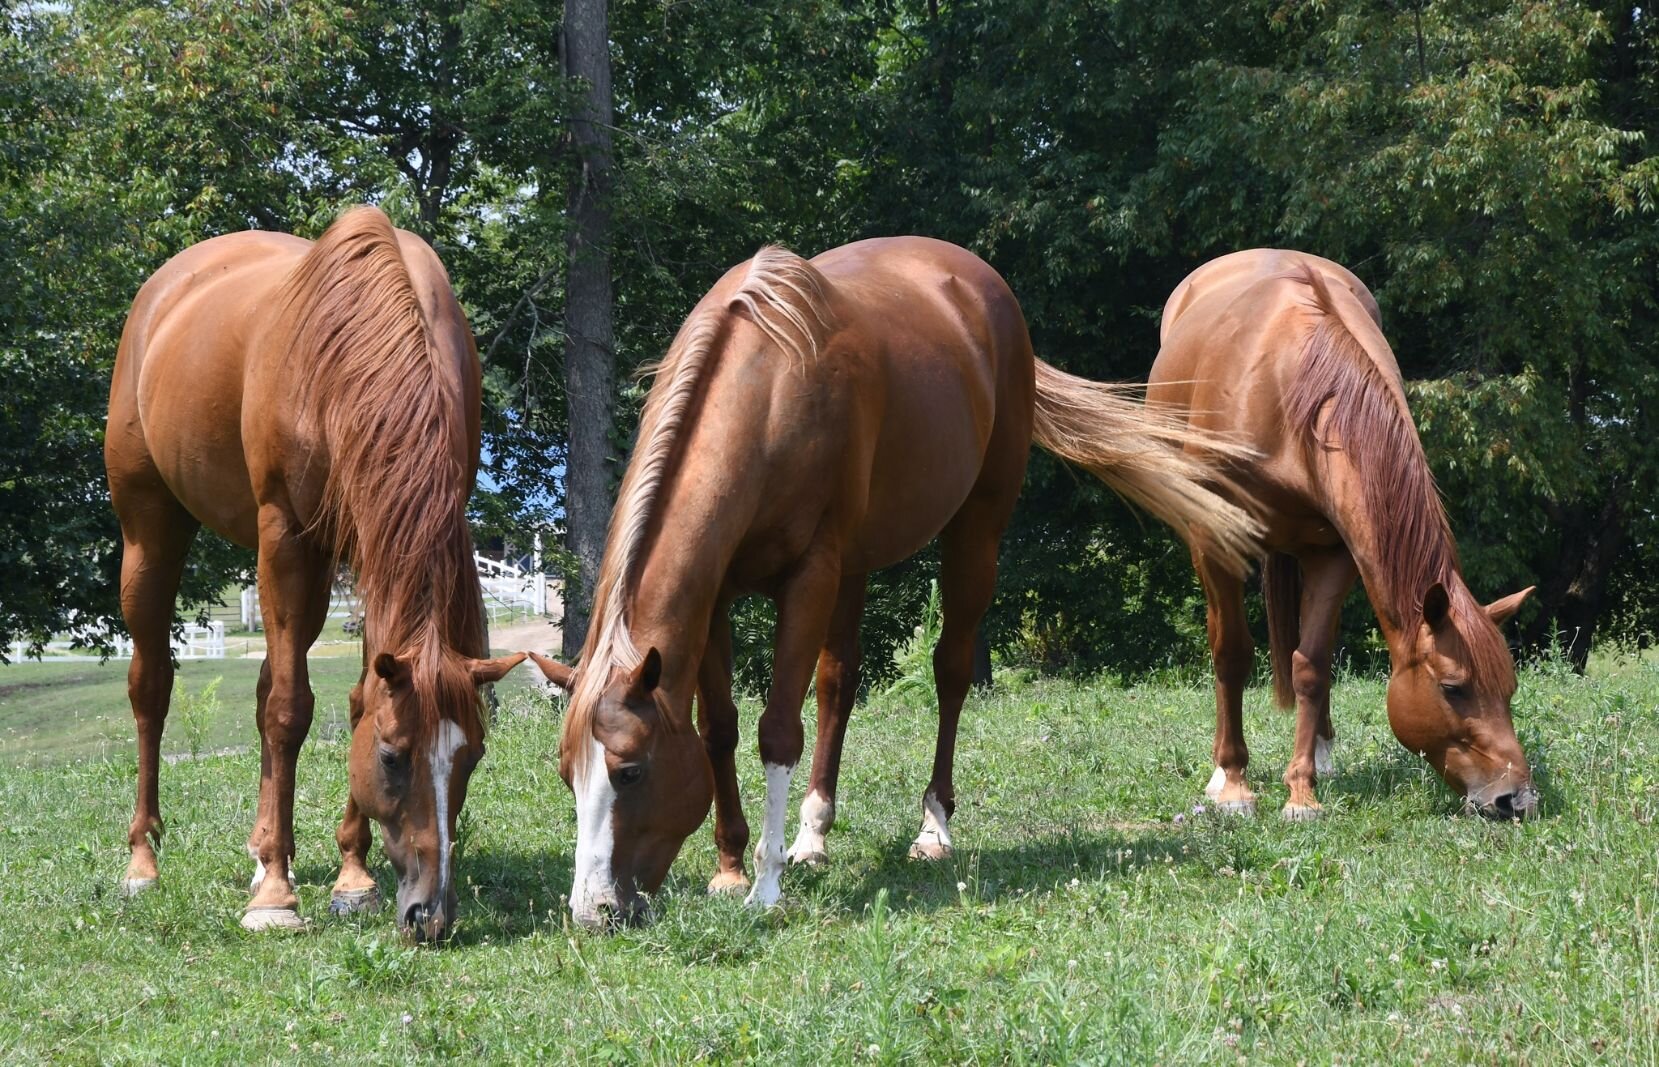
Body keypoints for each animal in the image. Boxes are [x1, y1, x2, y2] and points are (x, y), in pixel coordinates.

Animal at [103, 206, 527, 935]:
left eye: (471, 754)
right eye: (391, 757)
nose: (429, 914)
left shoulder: (369, 545)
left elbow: (351, 695)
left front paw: (351, 877)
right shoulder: (287, 536)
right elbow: (289, 708)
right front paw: (275, 896)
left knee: (264, 678)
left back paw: (261, 847)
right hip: (151, 534)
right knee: (151, 687)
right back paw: (144, 861)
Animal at [527, 237, 1254, 922]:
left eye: (629, 772)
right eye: (568, 776)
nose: (593, 912)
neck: (769, 392)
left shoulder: (809, 576)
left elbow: (776, 728)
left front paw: (764, 886)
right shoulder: (715, 594)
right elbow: (720, 729)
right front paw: (730, 867)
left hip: (973, 533)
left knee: (951, 670)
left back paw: (933, 826)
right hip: (855, 566)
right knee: (838, 682)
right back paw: (814, 834)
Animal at [1148, 248, 1532, 819]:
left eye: (1509, 687)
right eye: (1454, 688)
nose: (1516, 798)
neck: (1286, 388)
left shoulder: (1336, 552)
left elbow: (1311, 667)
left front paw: (1302, 792)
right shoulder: (1215, 541)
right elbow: (1233, 654)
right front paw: (1235, 785)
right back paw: (1221, 776)